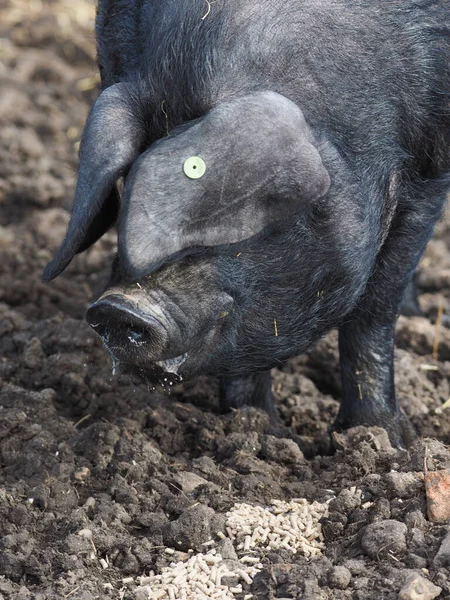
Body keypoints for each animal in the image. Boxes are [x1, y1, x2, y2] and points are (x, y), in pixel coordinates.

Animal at [44, 0, 450, 448]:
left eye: (239, 209)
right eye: (129, 187)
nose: (119, 307)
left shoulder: (429, 177)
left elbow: (374, 313)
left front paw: (384, 437)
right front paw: (255, 428)